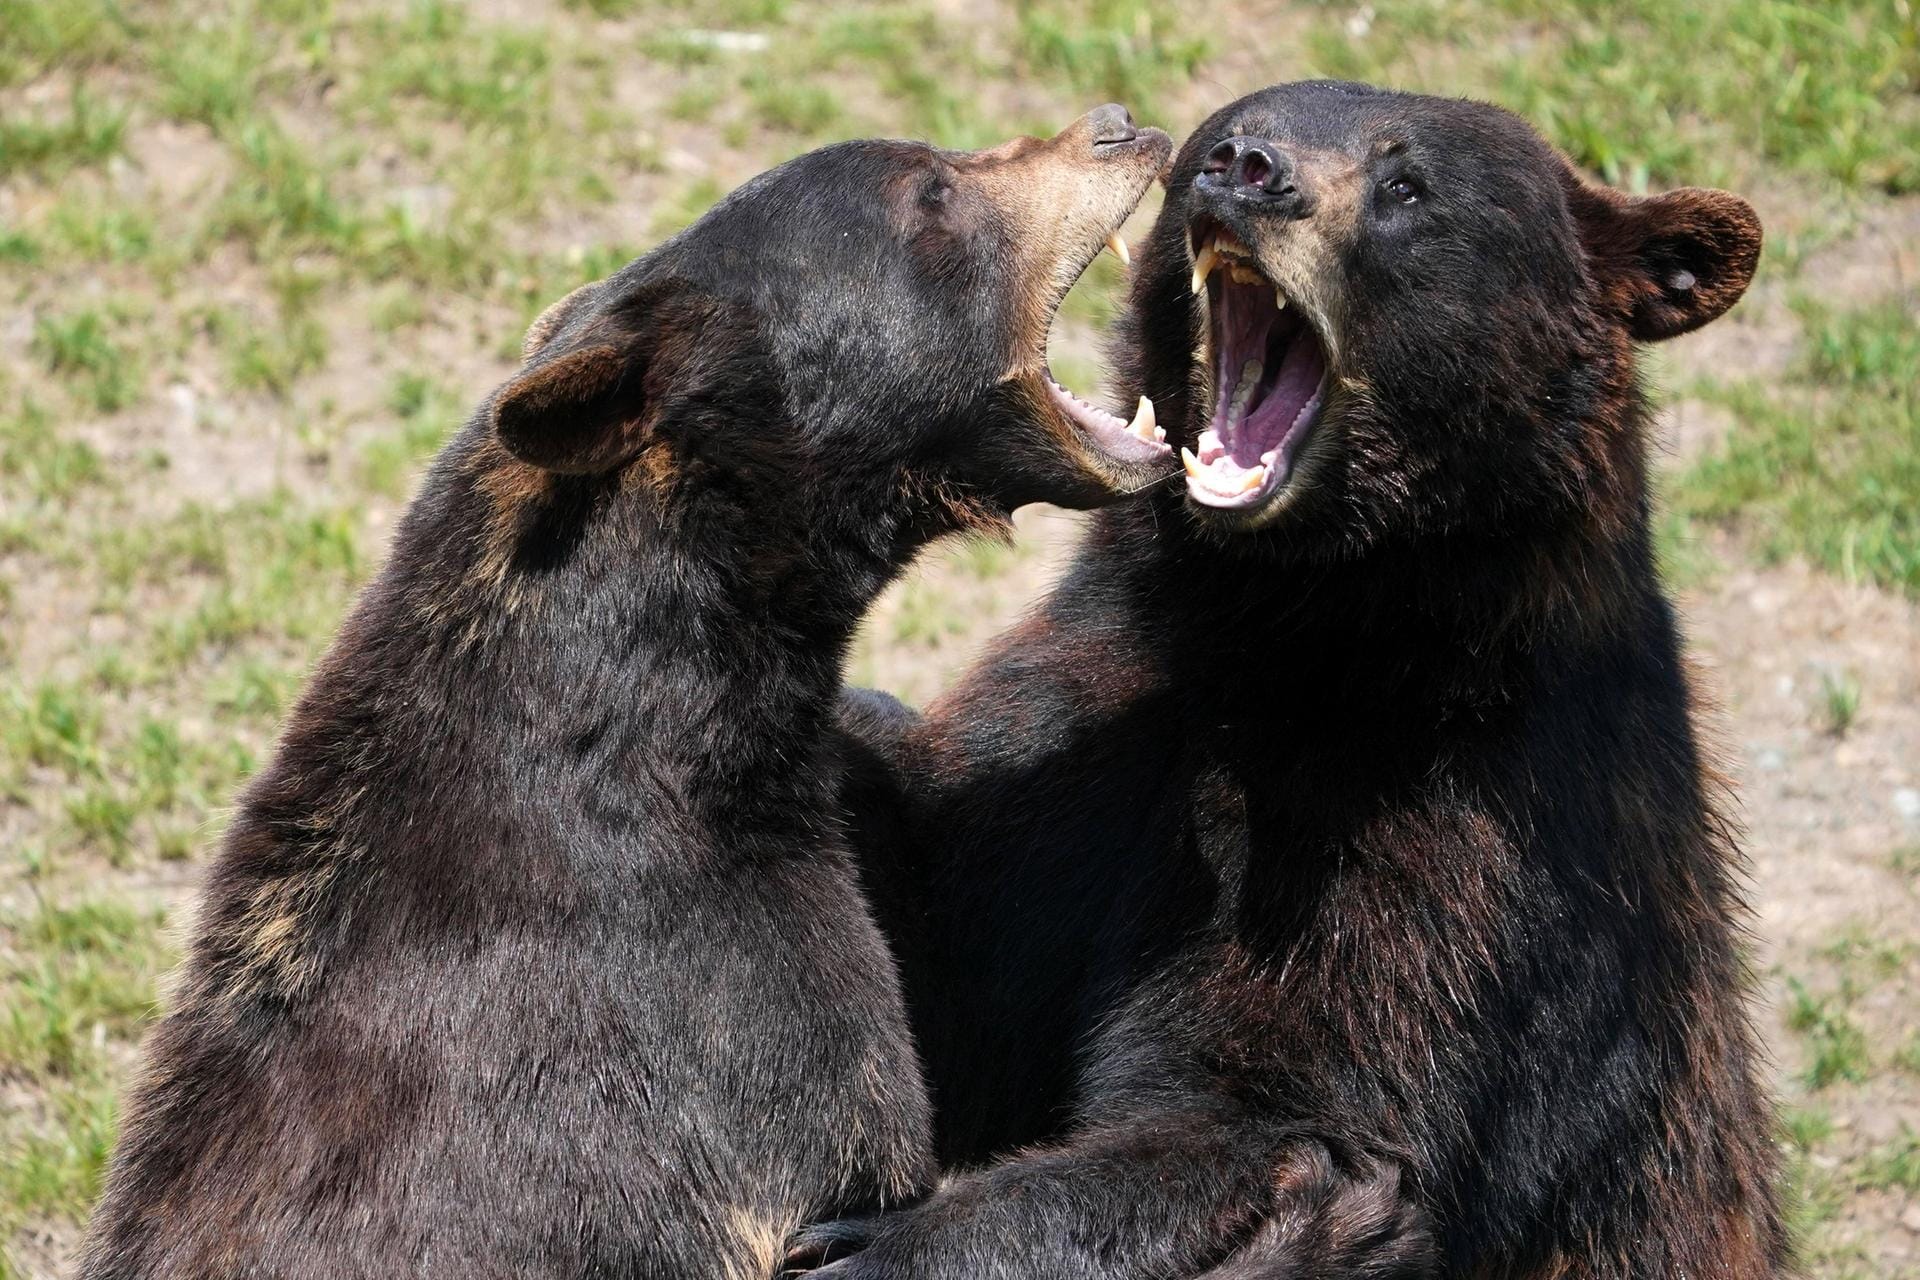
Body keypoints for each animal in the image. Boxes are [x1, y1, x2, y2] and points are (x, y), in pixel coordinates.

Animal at [802, 82, 1774, 1280]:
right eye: (1225, 131)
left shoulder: (1458, 829)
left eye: (1406, 183)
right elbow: (935, 947)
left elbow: (1278, 1101)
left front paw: (876, 1239)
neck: (1297, 619)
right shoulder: (1099, 709)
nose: (1247, 169)